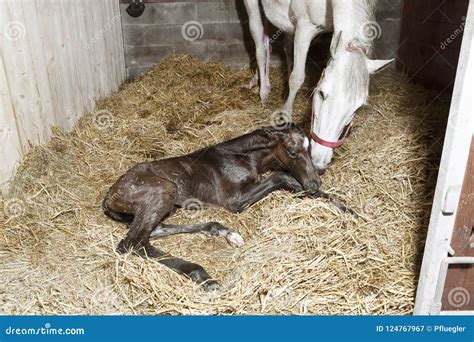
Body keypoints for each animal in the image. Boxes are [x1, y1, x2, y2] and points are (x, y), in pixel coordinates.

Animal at [103, 126, 346, 292]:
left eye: (310, 148)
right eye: (292, 151)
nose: (315, 184)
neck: (243, 157)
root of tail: (110, 195)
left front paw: (343, 207)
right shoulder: (234, 200)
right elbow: (281, 176)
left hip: (166, 206)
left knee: (153, 232)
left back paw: (224, 232)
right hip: (164, 190)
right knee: (131, 243)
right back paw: (202, 275)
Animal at [244, 0, 392, 170]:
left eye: (358, 108)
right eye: (321, 94)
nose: (319, 162)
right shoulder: (305, 26)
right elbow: (297, 78)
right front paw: (285, 115)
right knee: (260, 45)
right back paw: (263, 92)